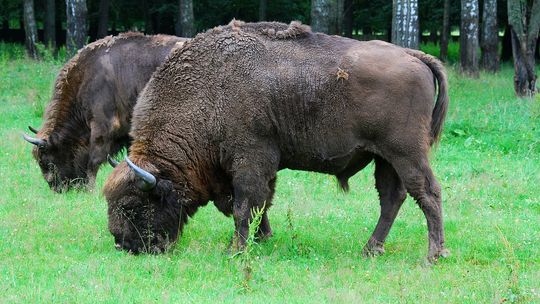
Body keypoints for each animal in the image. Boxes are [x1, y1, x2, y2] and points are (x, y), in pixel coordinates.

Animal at [22, 32, 188, 192]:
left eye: (46, 161)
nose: (57, 188)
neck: (86, 76)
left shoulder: (102, 128)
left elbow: (93, 160)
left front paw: (90, 189)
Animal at [103, 20, 450, 262]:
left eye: (132, 206)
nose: (123, 244)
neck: (206, 93)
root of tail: (413, 55)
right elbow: (260, 204)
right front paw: (262, 239)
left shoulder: (249, 159)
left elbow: (245, 205)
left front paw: (236, 249)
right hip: (385, 159)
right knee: (392, 198)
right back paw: (370, 250)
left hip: (405, 153)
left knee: (427, 192)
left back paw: (434, 255)